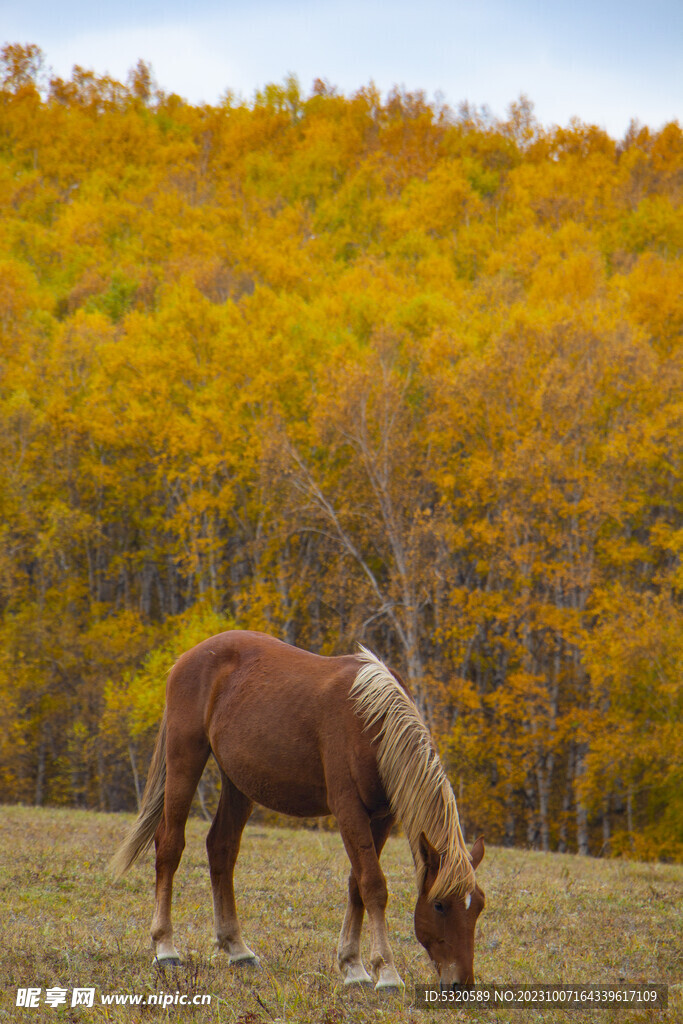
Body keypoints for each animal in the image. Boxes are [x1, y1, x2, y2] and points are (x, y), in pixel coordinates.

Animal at [112, 626, 485, 987]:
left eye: (478, 906)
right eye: (439, 905)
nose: (461, 982)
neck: (371, 721)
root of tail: (188, 657)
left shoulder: (382, 817)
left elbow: (357, 885)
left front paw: (353, 966)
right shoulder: (348, 810)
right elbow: (374, 885)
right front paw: (387, 973)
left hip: (239, 782)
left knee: (221, 848)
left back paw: (237, 949)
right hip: (185, 757)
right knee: (170, 845)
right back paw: (165, 947)